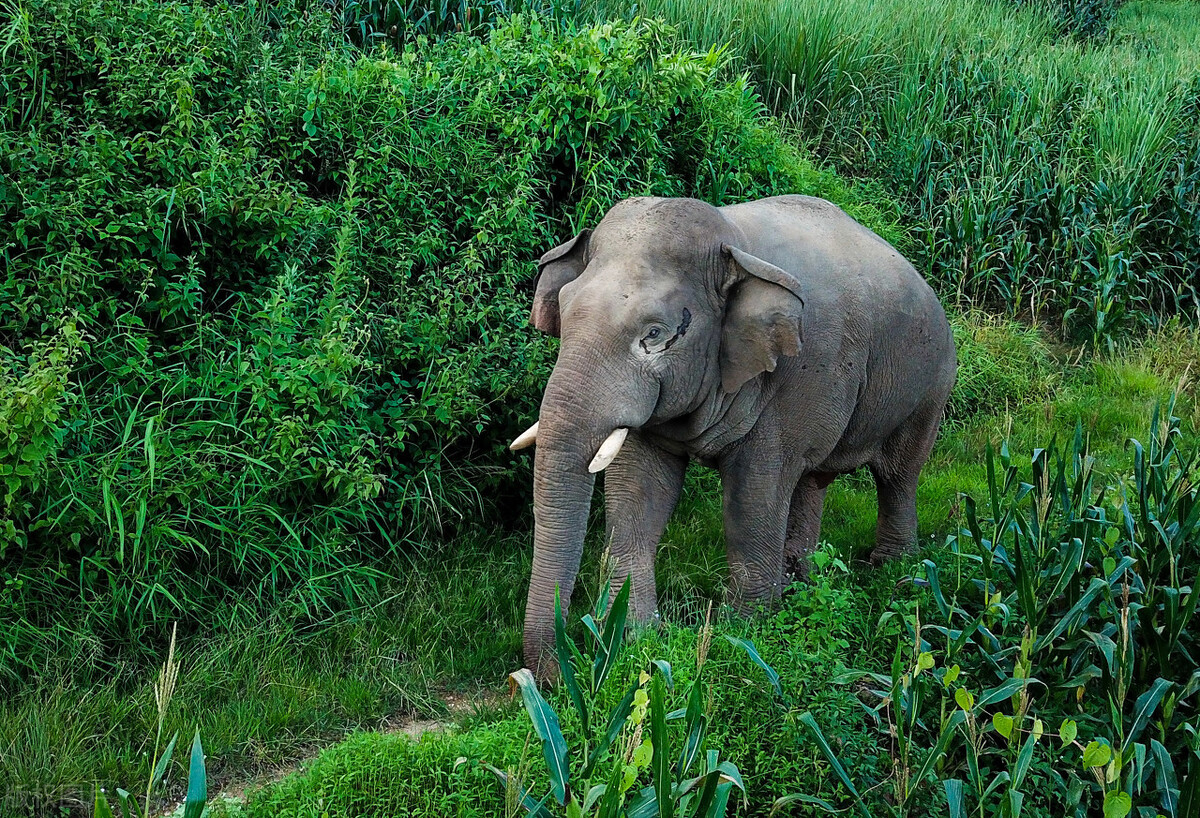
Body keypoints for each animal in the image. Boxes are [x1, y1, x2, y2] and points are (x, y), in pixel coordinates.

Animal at [508, 193, 955, 676]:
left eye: (655, 334)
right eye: (564, 311)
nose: (548, 677)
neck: (731, 242)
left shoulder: (794, 376)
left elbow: (753, 495)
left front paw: (743, 632)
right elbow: (637, 492)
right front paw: (635, 638)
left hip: (931, 383)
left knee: (897, 474)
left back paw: (894, 569)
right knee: (811, 478)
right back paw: (800, 579)